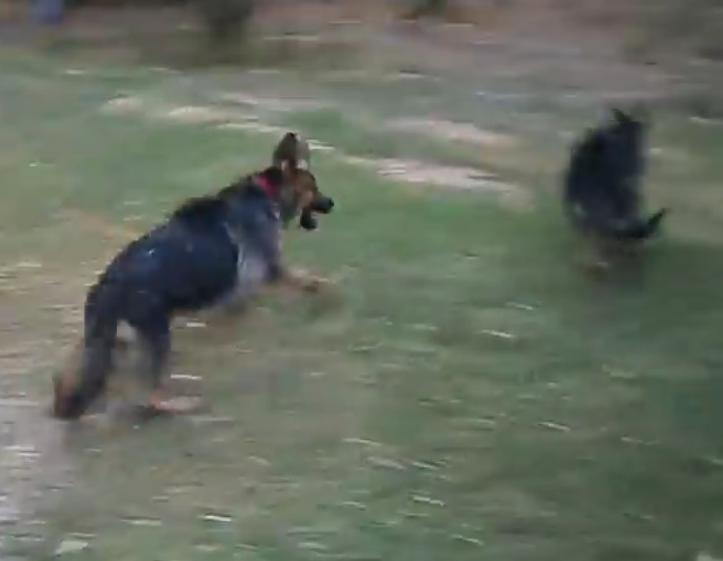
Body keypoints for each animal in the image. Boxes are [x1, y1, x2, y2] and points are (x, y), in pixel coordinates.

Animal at [53, 132, 334, 420]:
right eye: (314, 188)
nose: (331, 203)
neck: (268, 193)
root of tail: (108, 284)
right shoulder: (270, 271)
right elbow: (310, 282)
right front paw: (327, 296)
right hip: (157, 336)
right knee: (152, 396)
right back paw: (183, 404)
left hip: (108, 338)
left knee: (82, 375)